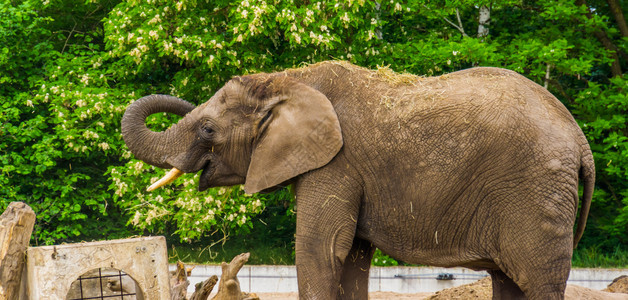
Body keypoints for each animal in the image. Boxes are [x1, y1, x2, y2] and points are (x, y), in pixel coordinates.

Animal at [121, 61, 592, 300]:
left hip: (533, 192)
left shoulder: (336, 164)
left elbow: (320, 250)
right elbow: (350, 259)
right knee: (509, 281)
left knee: (537, 279)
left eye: (208, 130)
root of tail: (580, 138)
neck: (292, 79)